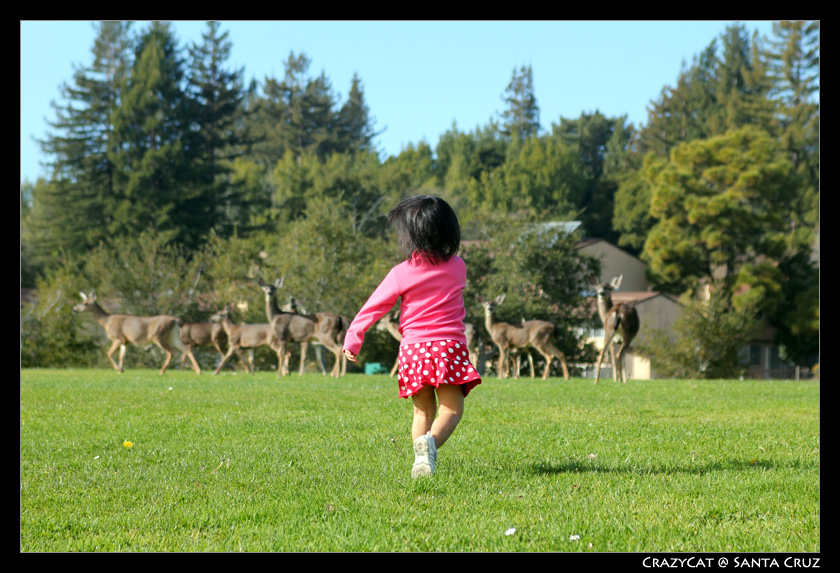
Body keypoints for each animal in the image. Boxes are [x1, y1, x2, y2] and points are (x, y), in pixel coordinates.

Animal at [70, 290, 199, 376]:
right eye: (82, 301)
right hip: (173, 336)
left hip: (159, 335)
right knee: (186, 348)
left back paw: (162, 371)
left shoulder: (118, 337)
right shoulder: (126, 341)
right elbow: (122, 356)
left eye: (85, 303)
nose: (74, 309)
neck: (106, 321)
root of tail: (176, 320)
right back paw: (198, 371)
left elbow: (109, 353)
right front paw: (121, 370)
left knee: (171, 352)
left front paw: (117, 369)